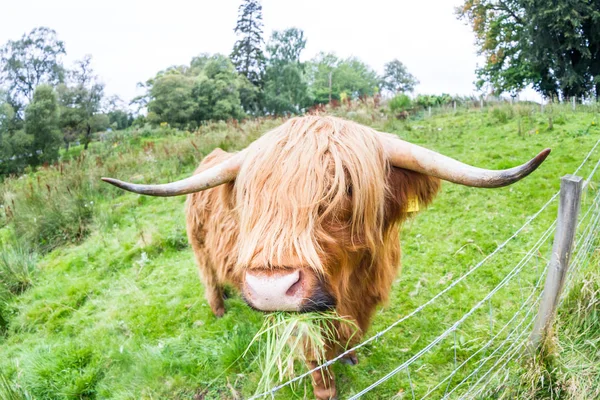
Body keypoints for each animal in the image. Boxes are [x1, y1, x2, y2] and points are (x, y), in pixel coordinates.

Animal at [102, 114, 548, 398]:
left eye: (344, 189)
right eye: (251, 199)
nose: (271, 288)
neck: (349, 287)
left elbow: (349, 336)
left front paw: (351, 356)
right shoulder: (301, 316)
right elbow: (315, 355)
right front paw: (327, 388)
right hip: (198, 248)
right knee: (209, 277)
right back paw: (219, 311)